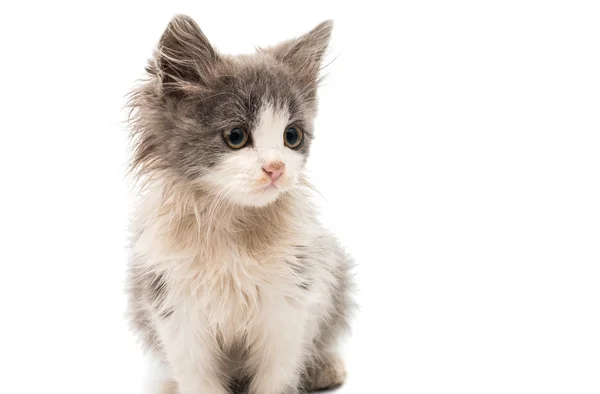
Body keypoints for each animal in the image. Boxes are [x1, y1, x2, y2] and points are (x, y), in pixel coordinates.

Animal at [125, 15, 354, 394]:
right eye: (236, 136)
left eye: (292, 136)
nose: (276, 168)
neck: (233, 225)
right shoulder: (176, 311)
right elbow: (197, 377)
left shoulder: (288, 306)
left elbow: (277, 374)